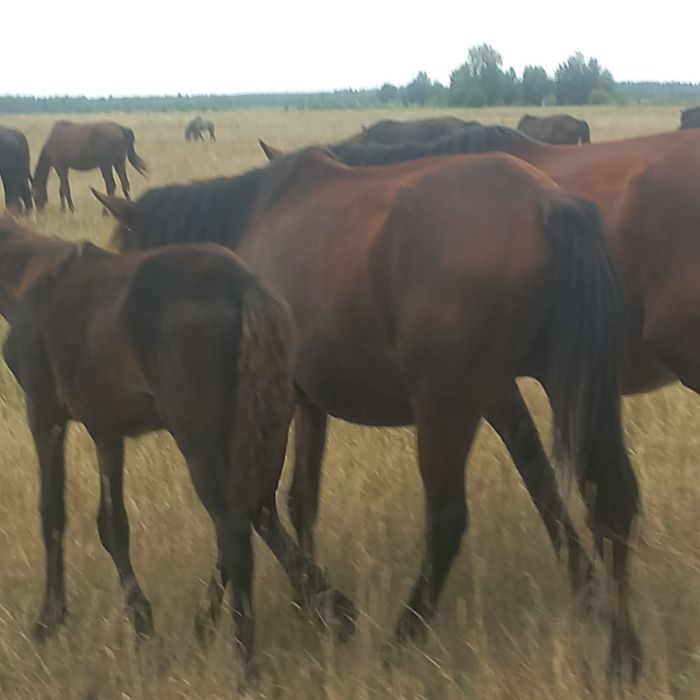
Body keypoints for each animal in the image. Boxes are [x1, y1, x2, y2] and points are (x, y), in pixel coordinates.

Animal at [0, 213, 355, 672]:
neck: (31, 278)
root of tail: (243, 285)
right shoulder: (106, 428)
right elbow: (112, 524)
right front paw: (141, 623)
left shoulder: (44, 415)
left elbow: (52, 514)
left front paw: (49, 620)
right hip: (261, 430)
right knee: (258, 509)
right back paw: (326, 607)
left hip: (201, 443)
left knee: (236, 531)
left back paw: (246, 662)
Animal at [95, 147, 638, 675]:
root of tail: (549, 205)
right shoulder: (323, 401)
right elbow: (298, 499)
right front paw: (290, 605)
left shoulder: (278, 399)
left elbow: (254, 503)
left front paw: (324, 606)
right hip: (565, 385)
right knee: (607, 498)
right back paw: (620, 647)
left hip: (445, 407)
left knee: (448, 520)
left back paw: (400, 640)